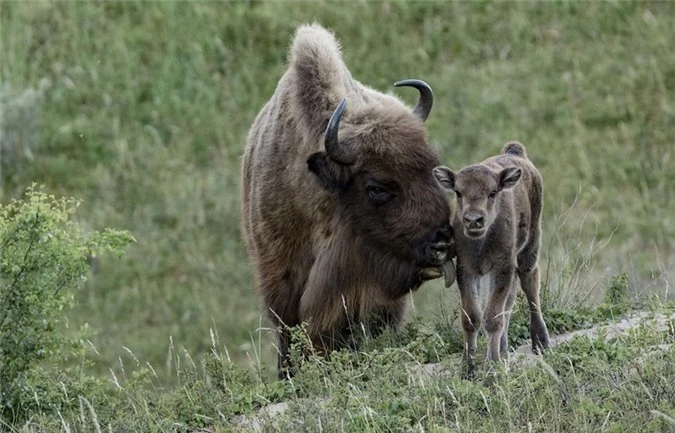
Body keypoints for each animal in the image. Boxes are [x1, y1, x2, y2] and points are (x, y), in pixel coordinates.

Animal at [436, 141, 552, 364]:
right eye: (458, 192)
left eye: (492, 192)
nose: (474, 220)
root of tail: (516, 153)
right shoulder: (467, 269)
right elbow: (472, 317)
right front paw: (468, 365)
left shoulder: (501, 267)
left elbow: (492, 317)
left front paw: (493, 363)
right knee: (510, 301)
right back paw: (505, 348)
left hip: (530, 247)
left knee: (530, 284)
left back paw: (540, 342)